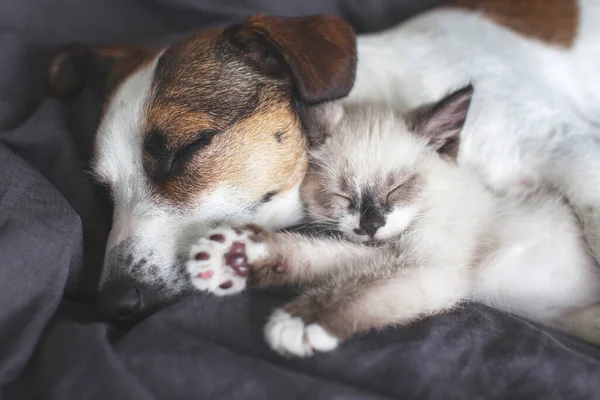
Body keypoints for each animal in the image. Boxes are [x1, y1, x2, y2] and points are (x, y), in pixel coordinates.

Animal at [184, 86, 600, 356]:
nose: (370, 225)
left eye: (396, 189)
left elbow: (361, 289)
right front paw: (235, 255)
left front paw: (300, 322)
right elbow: (318, 256)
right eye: (342, 196)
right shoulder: (385, 254)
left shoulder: (428, 267)